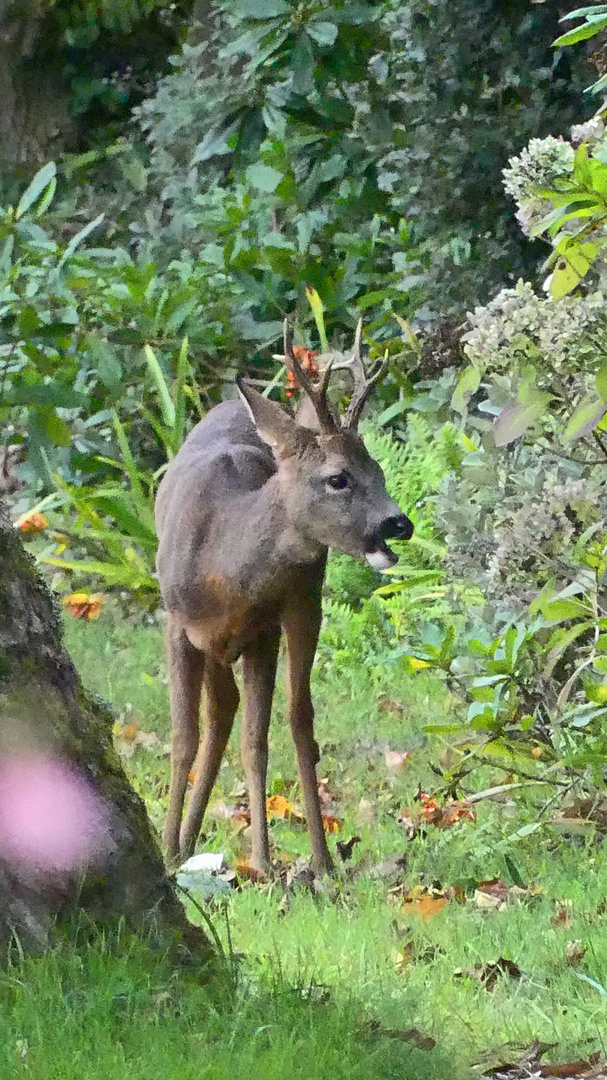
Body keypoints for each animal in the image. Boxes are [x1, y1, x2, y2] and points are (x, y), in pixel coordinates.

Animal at [154, 315, 410, 872]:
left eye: (379, 470)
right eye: (338, 478)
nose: (398, 523)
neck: (223, 568)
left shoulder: (263, 629)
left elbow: (256, 742)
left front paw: (263, 862)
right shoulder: (176, 623)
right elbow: (182, 739)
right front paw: (165, 851)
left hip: (304, 604)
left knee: (294, 718)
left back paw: (321, 860)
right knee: (220, 714)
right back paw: (186, 842)